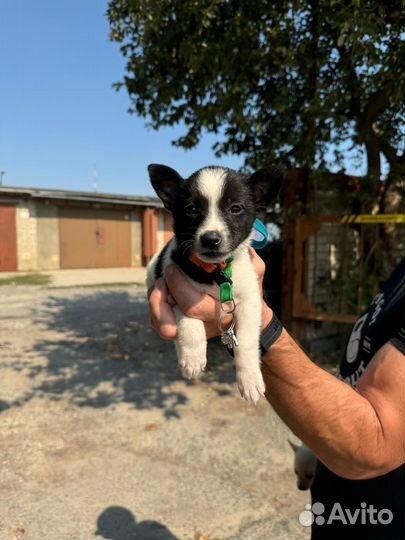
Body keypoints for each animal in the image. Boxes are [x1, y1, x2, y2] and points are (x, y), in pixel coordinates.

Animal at [147, 163, 282, 400]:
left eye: (236, 208)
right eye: (191, 209)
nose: (211, 239)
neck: (216, 271)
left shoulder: (249, 300)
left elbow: (246, 341)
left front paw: (250, 378)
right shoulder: (175, 289)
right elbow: (189, 320)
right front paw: (192, 357)